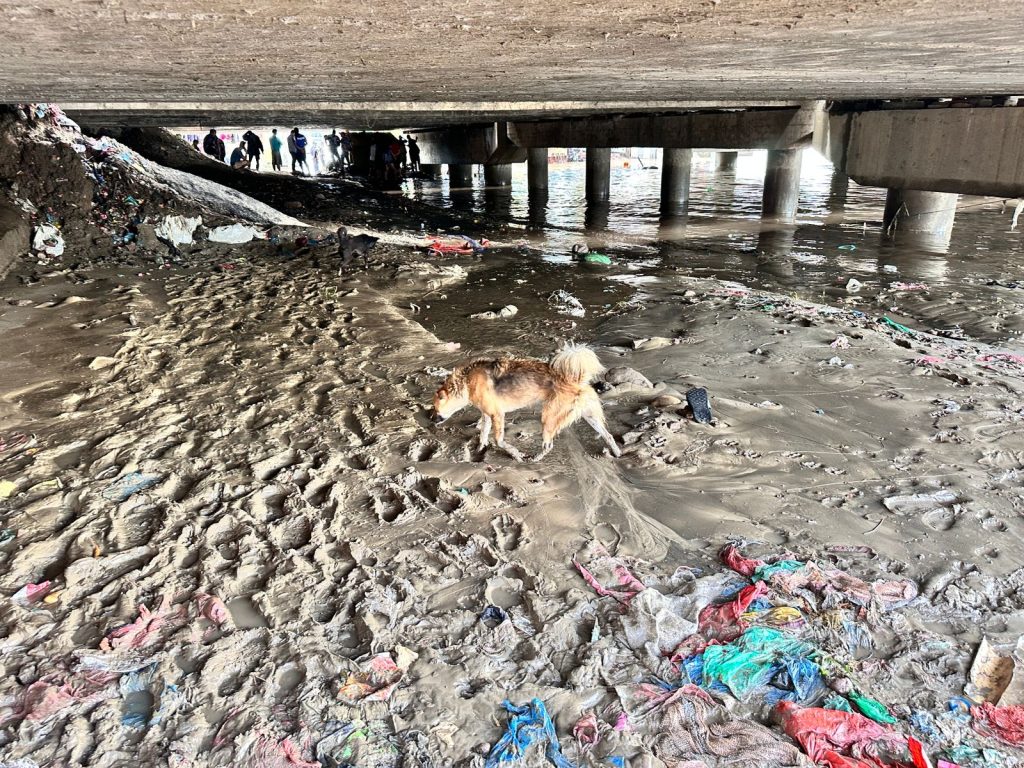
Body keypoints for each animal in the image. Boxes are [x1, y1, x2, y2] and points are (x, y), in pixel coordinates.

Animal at [430, 344, 618, 462]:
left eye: (434, 407)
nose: (431, 419)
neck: (466, 383)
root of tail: (576, 380)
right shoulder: (487, 415)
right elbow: (483, 434)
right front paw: (479, 450)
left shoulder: (497, 415)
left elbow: (499, 440)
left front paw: (516, 455)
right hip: (588, 415)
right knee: (608, 435)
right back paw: (616, 453)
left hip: (549, 417)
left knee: (548, 445)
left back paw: (534, 459)